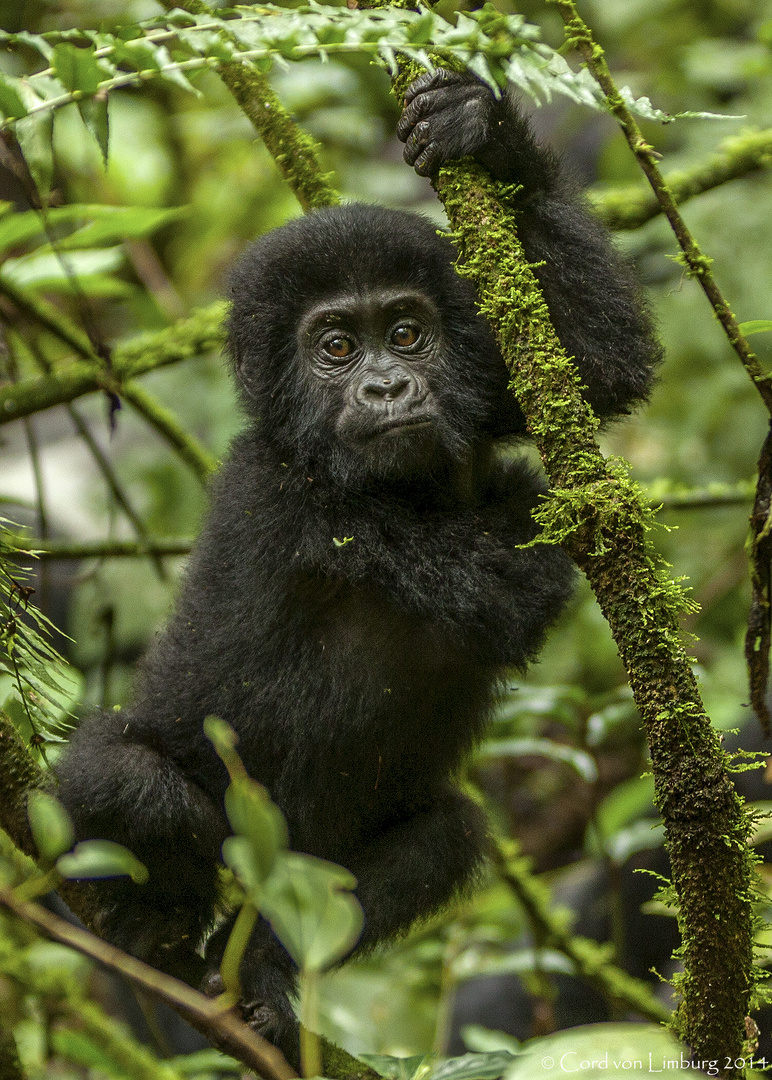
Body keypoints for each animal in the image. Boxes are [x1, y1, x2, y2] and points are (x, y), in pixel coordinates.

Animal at [55, 71, 656, 1058]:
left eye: (407, 332)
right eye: (335, 347)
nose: (386, 387)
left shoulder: (481, 385)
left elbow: (599, 367)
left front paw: (478, 127)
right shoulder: (292, 502)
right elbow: (501, 588)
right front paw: (535, 500)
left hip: (306, 866)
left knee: (442, 838)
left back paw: (257, 973)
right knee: (119, 777)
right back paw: (153, 924)